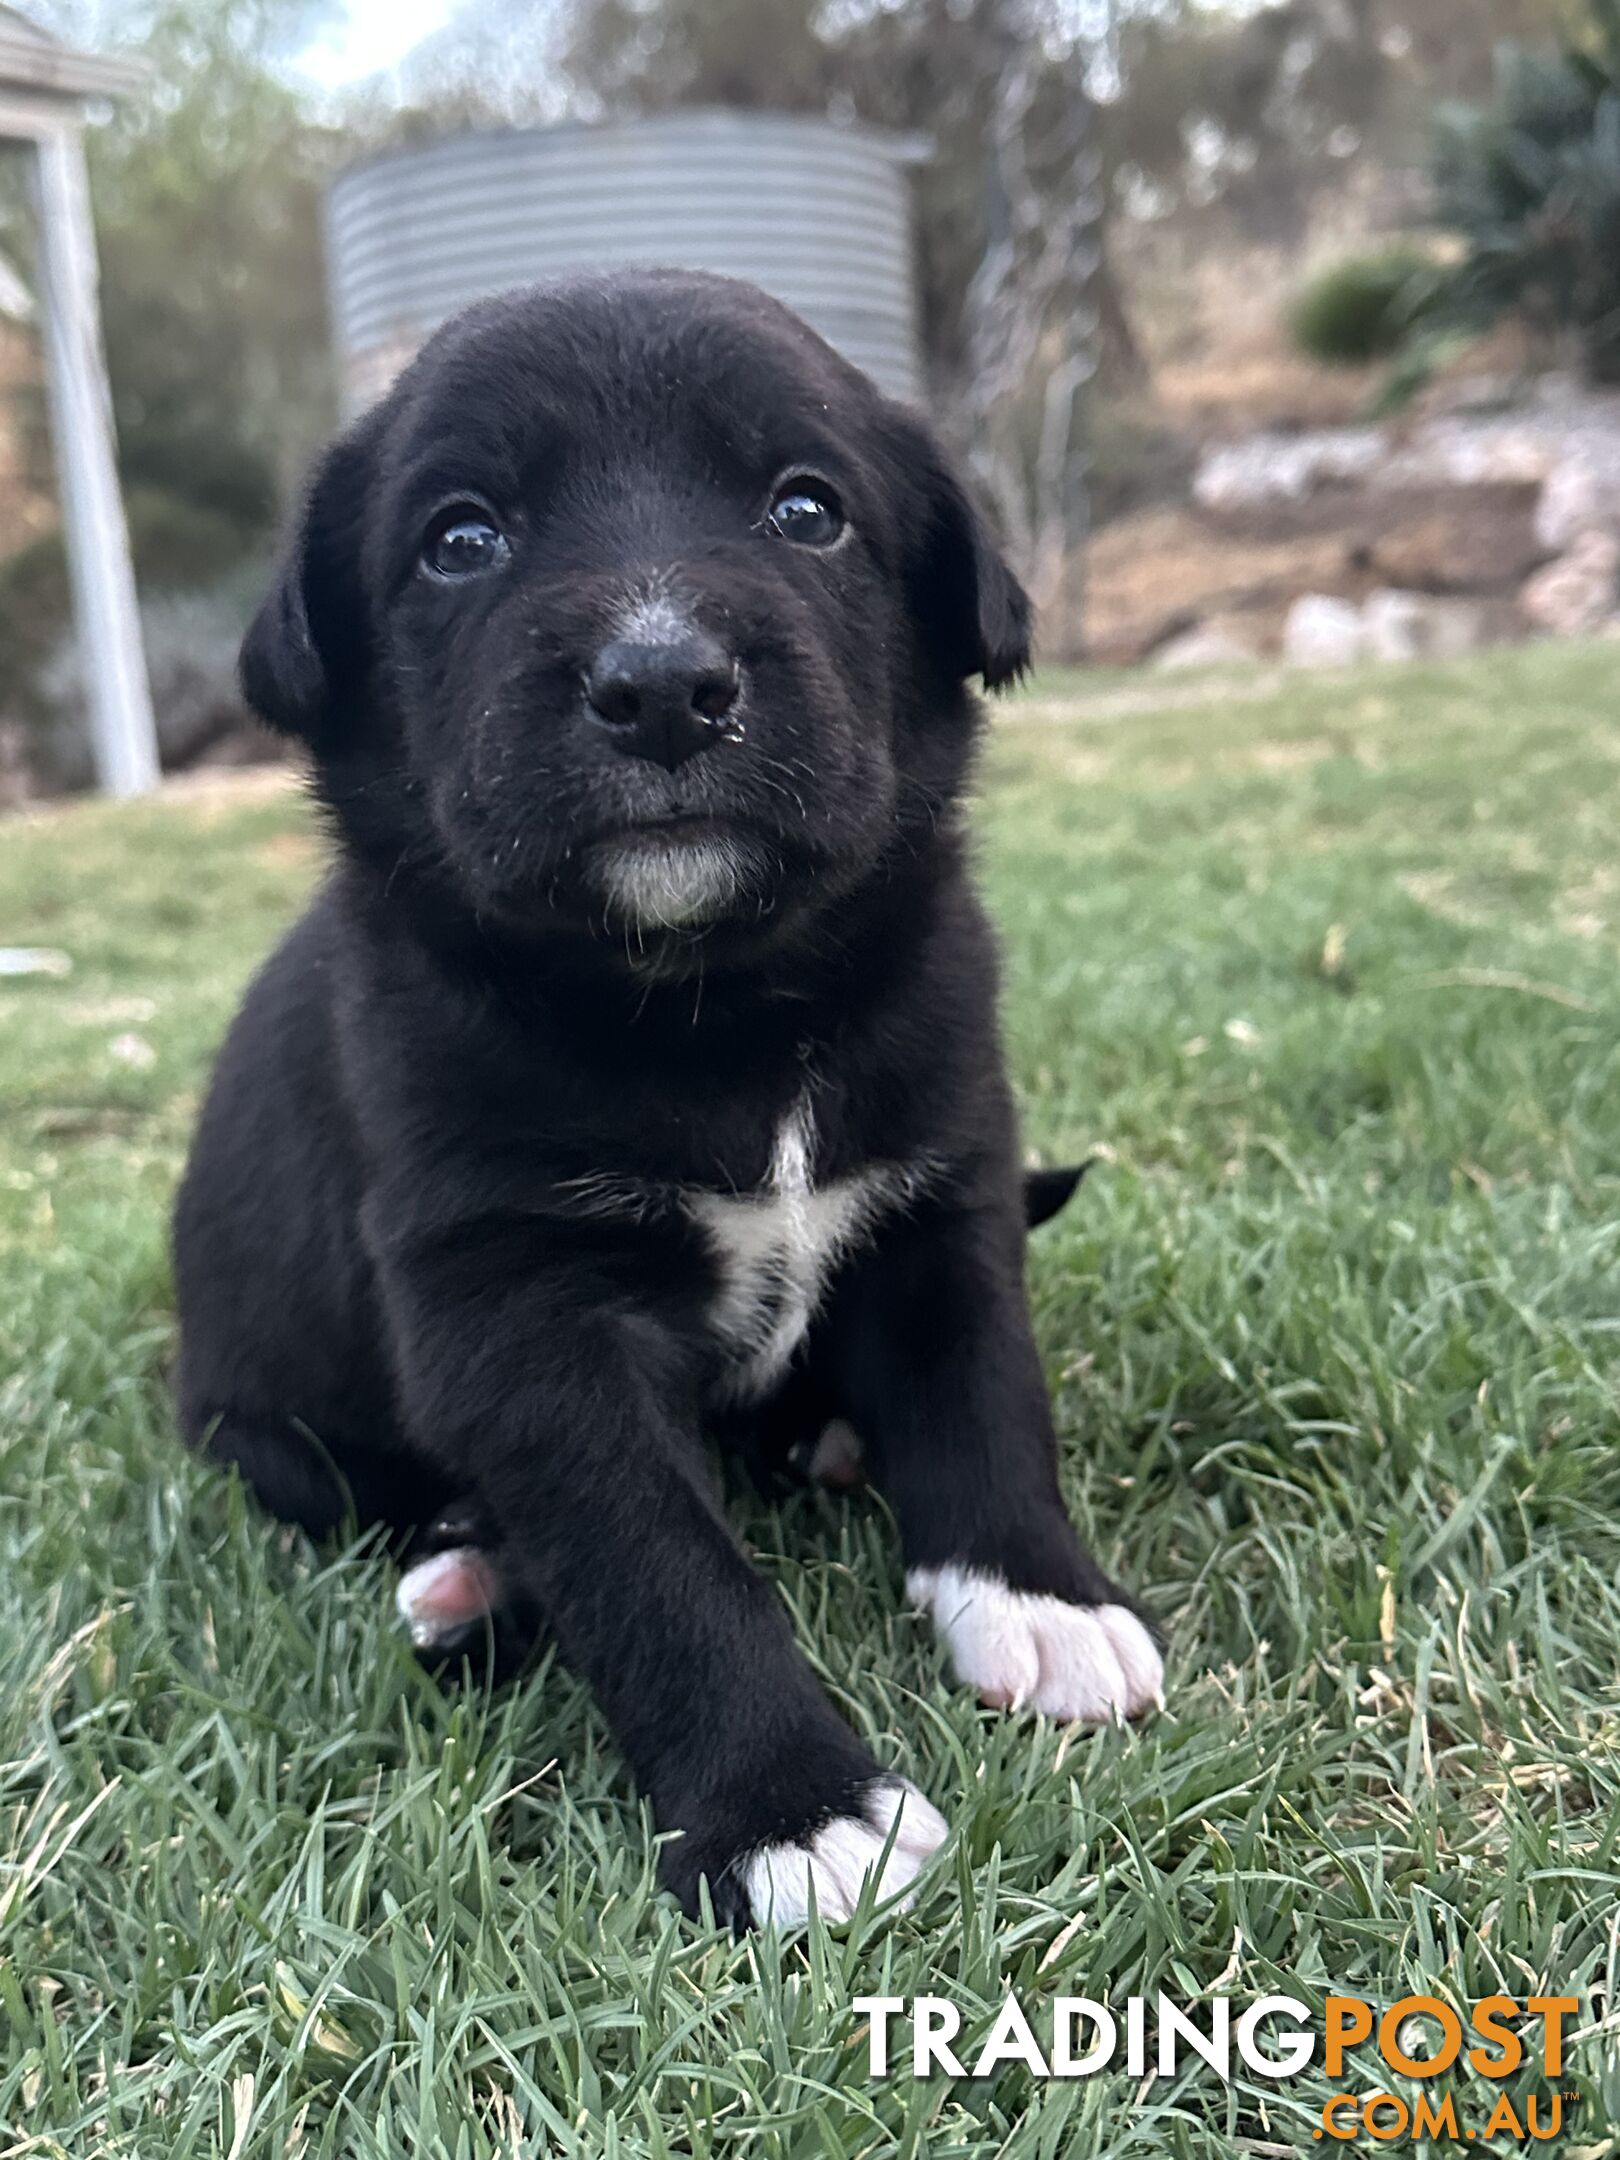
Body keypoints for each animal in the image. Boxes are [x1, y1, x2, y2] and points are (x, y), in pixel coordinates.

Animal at [174, 270, 1166, 1926]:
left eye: (807, 510)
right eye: (461, 539)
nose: (659, 691)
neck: (718, 1008)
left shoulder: (944, 1191)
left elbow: (985, 1399)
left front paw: (1040, 1600)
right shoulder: (515, 1306)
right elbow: (655, 1555)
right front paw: (789, 1811)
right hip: (265, 1431)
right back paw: (473, 1577)